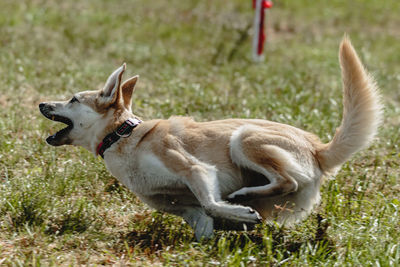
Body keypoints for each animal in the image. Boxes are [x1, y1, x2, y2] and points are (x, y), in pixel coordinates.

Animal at [39, 37, 382, 241]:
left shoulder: (197, 170)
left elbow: (212, 202)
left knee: (287, 180)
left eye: (72, 99)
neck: (122, 136)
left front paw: (239, 212)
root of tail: (317, 149)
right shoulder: (180, 207)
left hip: (244, 138)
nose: (41, 103)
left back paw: (245, 196)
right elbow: (205, 218)